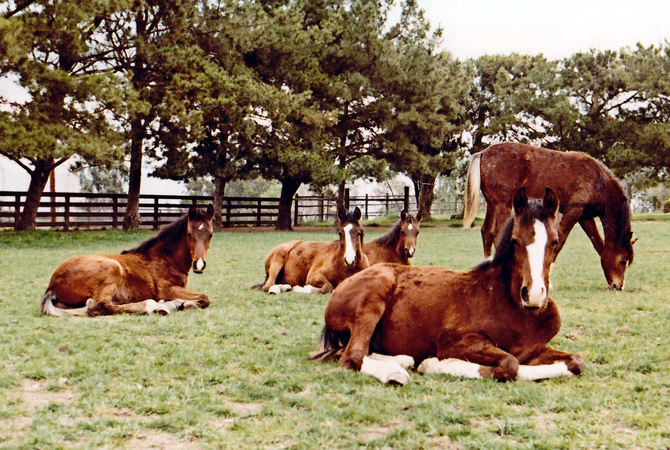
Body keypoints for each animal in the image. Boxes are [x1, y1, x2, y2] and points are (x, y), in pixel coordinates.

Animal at [41, 205, 215, 316]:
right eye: (189, 234)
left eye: (211, 235)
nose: (199, 265)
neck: (165, 258)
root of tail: (52, 284)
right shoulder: (166, 289)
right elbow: (205, 298)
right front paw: (184, 303)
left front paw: (181, 303)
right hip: (112, 269)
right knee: (99, 306)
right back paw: (153, 306)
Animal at [314, 188, 584, 384]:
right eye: (515, 240)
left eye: (555, 241)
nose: (534, 295)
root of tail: (342, 286)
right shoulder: (454, 341)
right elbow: (511, 364)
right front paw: (435, 364)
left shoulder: (535, 348)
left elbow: (576, 361)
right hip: (373, 299)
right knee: (352, 355)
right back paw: (396, 373)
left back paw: (402, 360)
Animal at [464, 144, 636, 292]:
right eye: (622, 260)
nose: (618, 285)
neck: (599, 180)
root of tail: (483, 153)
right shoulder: (574, 210)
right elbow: (560, 241)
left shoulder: (584, 217)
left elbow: (598, 244)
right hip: (502, 205)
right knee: (497, 234)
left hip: (492, 205)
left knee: (486, 232)